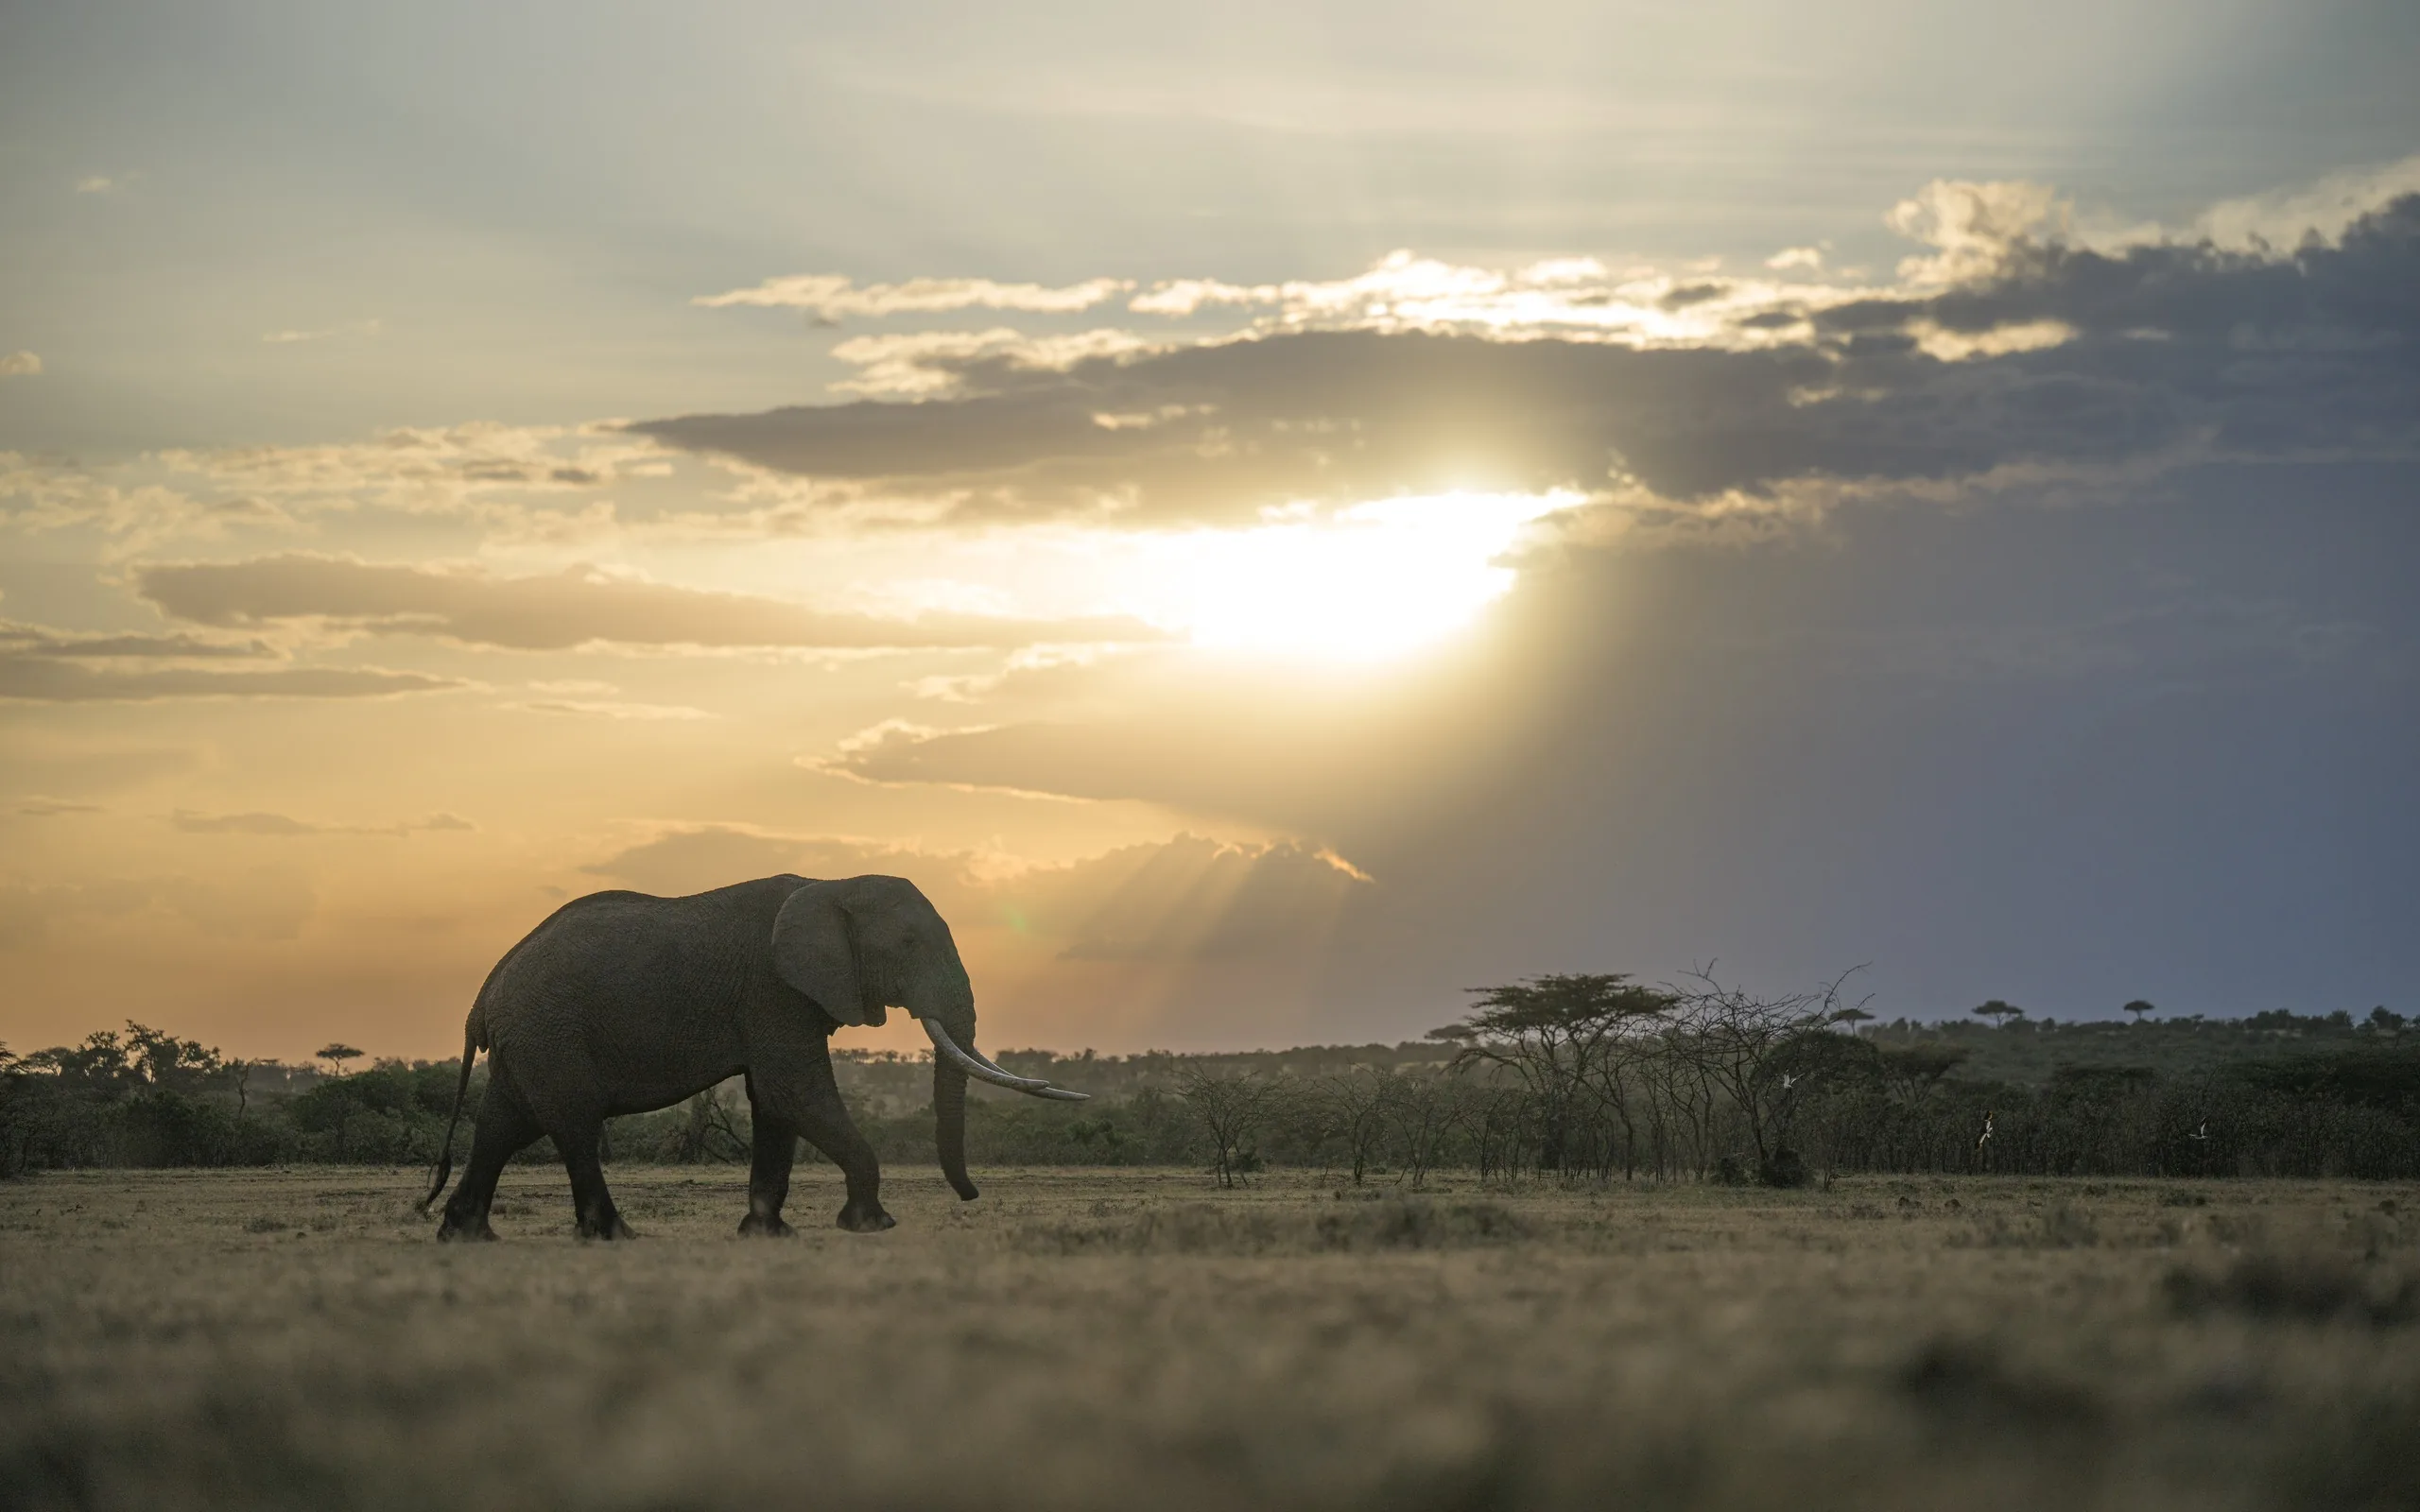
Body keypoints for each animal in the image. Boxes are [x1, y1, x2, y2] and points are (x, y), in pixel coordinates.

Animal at [417, 873, 1085, 1240]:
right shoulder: (775, 991)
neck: (833, 885)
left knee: (503, 1126)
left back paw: (465, 1236)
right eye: (907, 943)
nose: (971, 1198)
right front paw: (873, 1226)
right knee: (572, 1124)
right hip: (551, 1030)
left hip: (530, 1039)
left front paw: (769, 1233)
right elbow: (793, 1089)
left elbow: (774, 1104)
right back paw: (618, 1236)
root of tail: (486, 992)